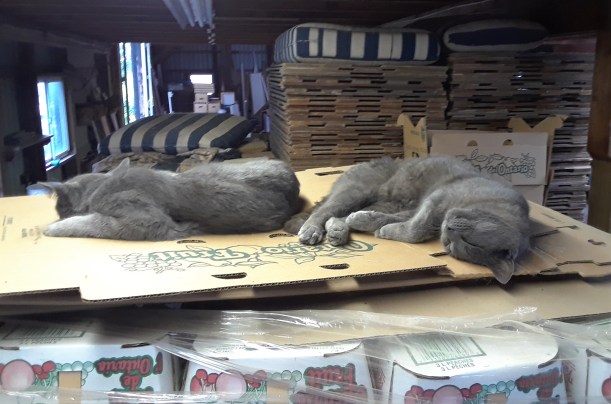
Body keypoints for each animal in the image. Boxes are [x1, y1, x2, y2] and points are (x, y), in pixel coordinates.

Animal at [285, 155, 531, 284]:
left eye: (452, 246)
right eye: (471, 240)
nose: (449, 228)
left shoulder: (416, 210)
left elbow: (405, 223)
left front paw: (379, 227)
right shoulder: (438, 197)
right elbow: (417, 229)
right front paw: (385, 230)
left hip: (386, 201)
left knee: (338, 215)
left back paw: (339, 230)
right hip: (357, 190)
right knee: (324, 210)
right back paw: (312, 230)